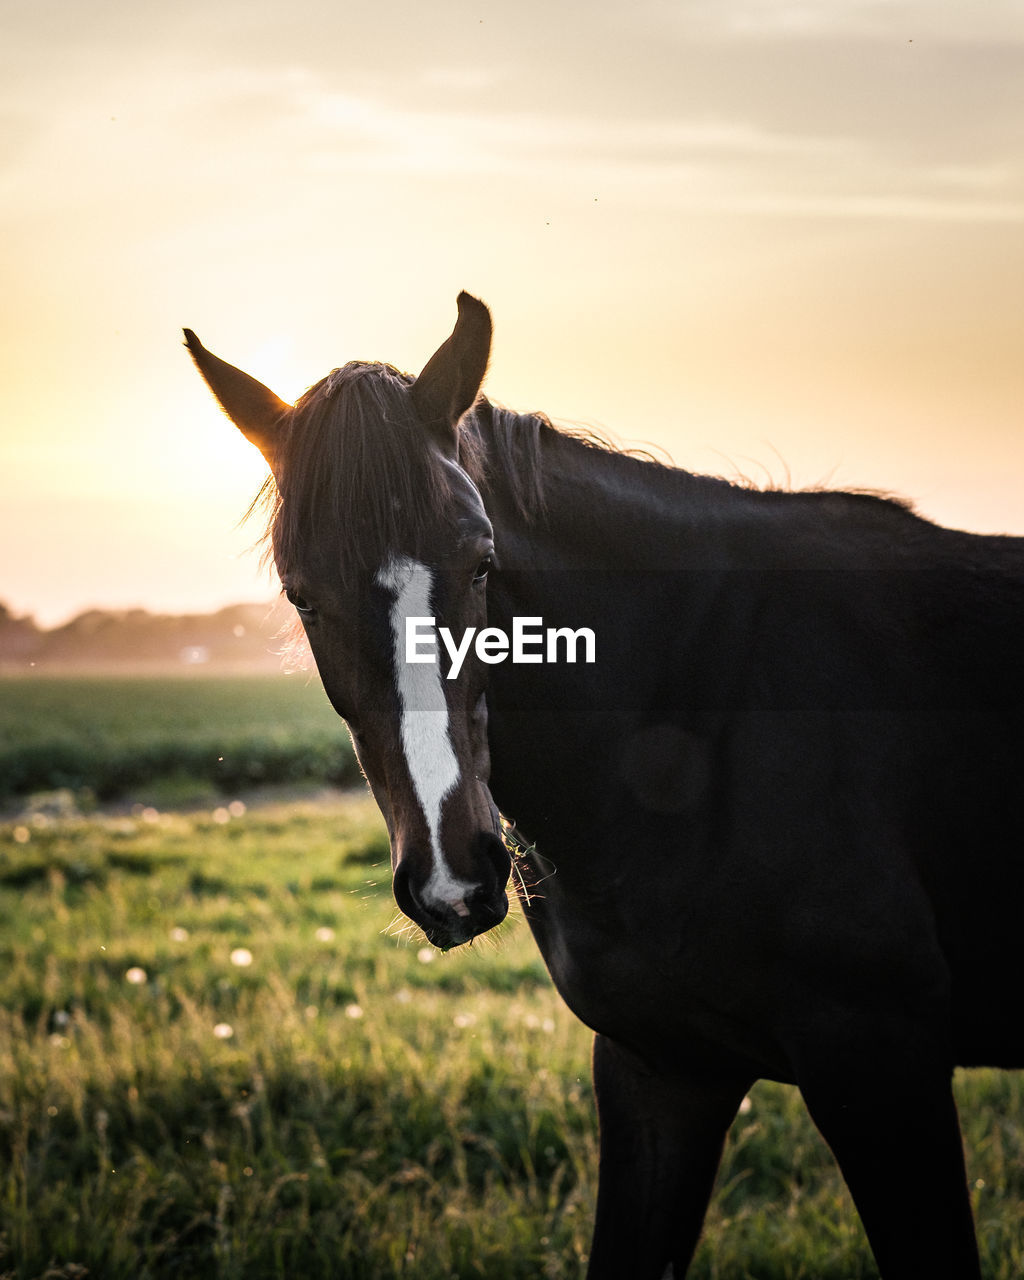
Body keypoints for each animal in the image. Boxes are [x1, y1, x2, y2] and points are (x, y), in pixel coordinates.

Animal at [185, 294, 1024, 1274]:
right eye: (301, 595)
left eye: (481, 562)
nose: (453, 878)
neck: (698, 721)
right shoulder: (659, 1070)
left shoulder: (883, 1067)